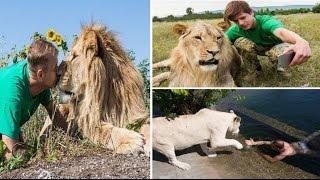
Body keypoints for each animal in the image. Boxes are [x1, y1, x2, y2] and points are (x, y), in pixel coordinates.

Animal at [40, 23, 149, 154]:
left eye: (75, 57)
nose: (57, 74)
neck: (106, 96)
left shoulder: (135, 115)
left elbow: (148, 125)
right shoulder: (83, 122)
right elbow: (104, 131)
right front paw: (130, 140)